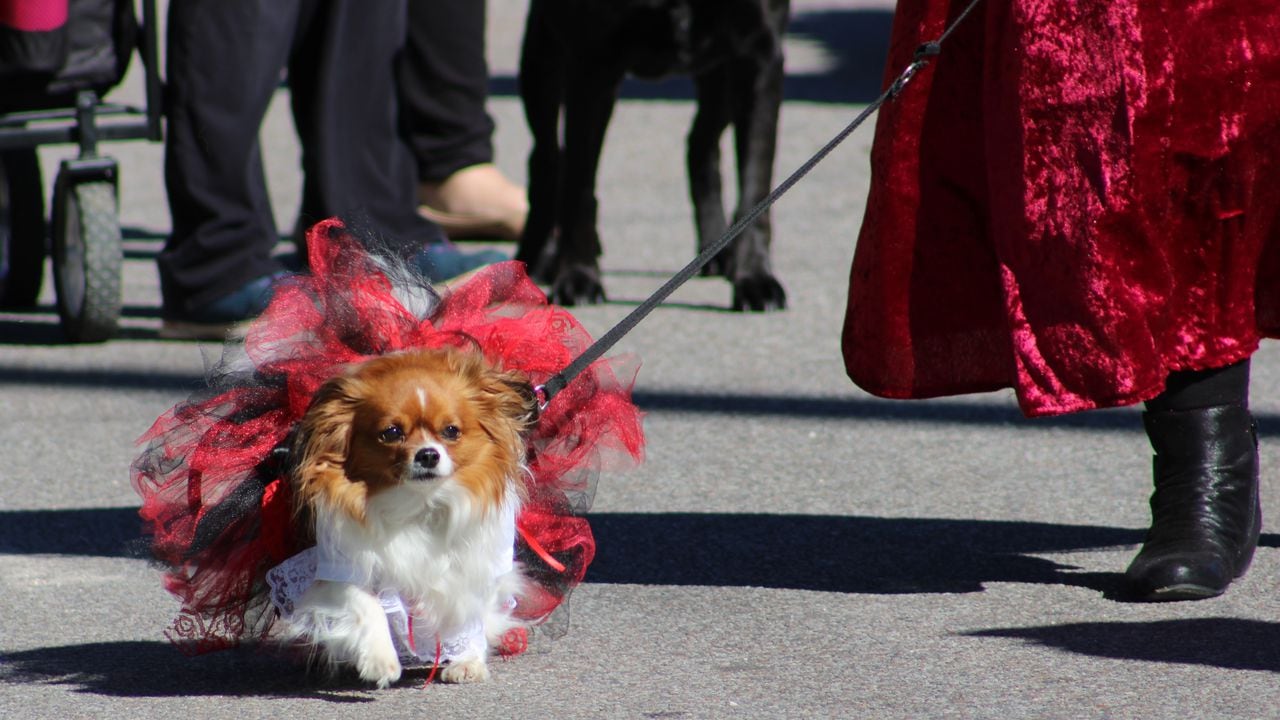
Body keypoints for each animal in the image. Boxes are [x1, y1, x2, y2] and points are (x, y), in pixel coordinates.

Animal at [280, 348, 540, 681]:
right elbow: (366, 603)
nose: (428, 454)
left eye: (451, 431)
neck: (419, 504)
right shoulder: (340, 563)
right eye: (391, 433)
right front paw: (380, 658)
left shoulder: (474, 563)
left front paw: (468, 660)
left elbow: (469, 613)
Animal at [514, 0, 783, 308]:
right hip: (543, 55)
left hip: (719, 74)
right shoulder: (591, 64)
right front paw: (578, 277)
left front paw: (755, 278)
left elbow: (756, 191)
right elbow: (579, 190)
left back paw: (717, 248)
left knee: (701, 142)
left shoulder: (760, 55)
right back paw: (537, 257)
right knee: (547, 160)